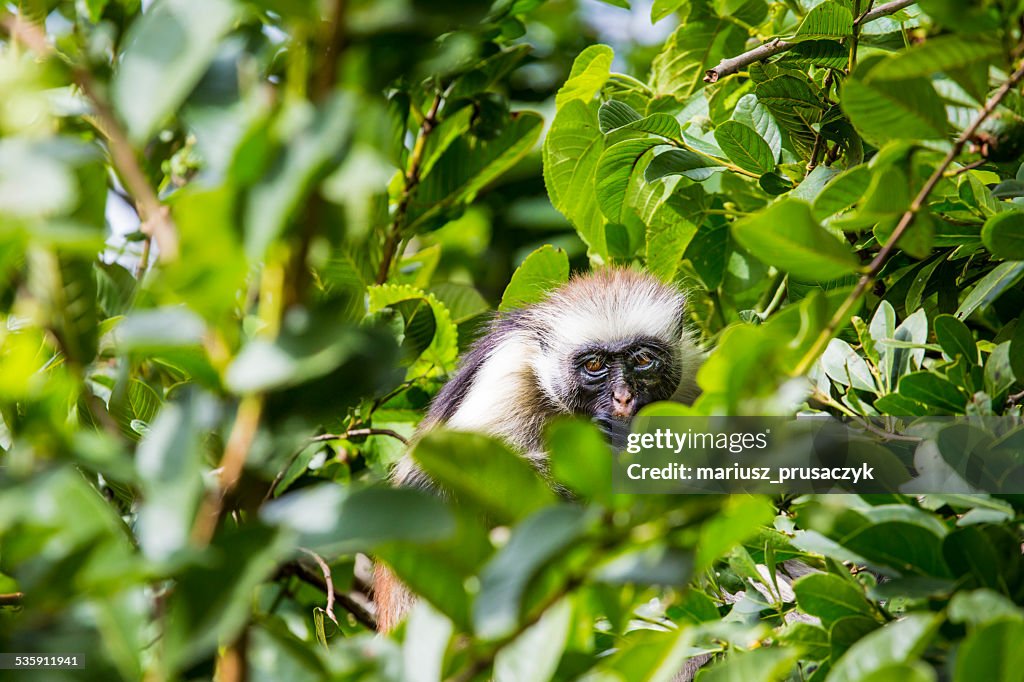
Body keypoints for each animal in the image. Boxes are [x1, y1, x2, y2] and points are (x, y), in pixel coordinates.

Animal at [374, 266, 704, 630]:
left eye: (644, 360)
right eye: (594, 366)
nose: (623, 398)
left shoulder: (694, 373)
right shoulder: (507, 376)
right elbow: (433, 484)